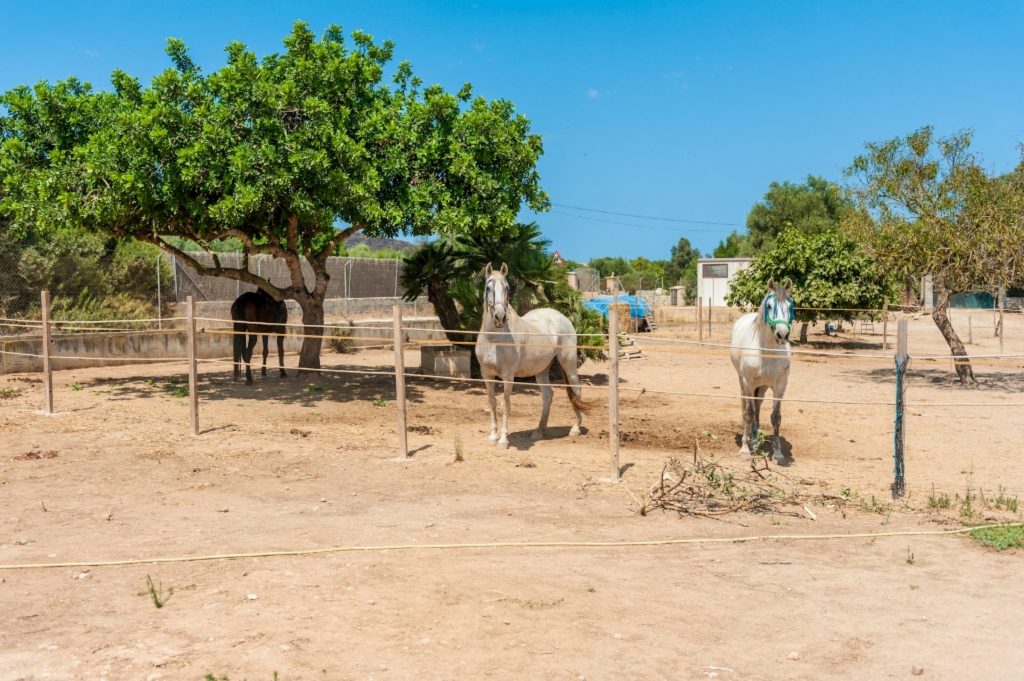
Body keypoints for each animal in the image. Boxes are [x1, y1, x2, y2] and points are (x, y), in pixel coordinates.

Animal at [473, 262, 589, 448]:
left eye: (507, 288)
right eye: (488, 287)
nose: (499, 317)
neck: (495, 339)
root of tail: (562, 317)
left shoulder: (508, 376)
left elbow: (505, 404)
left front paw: (503, 440)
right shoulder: (487, 374)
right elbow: (492, 402)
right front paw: (492, 437)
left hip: (568, 363)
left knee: (576, 390)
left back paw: (575, 428)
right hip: (541, 370)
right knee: (548, 396)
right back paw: (539, 431)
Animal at [729, 276, 790, 462]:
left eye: (790, 305)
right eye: (769, 306)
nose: (782, 334)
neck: (767, 352)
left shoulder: (780, 386)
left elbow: (776, 417)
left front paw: (778, 453)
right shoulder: (749, 383)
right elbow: (748, 413)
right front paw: (744, 450)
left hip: (761, 387)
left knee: (758, 405)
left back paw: (755, 438)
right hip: (743, 383)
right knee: (747, 407)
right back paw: (749, 438)